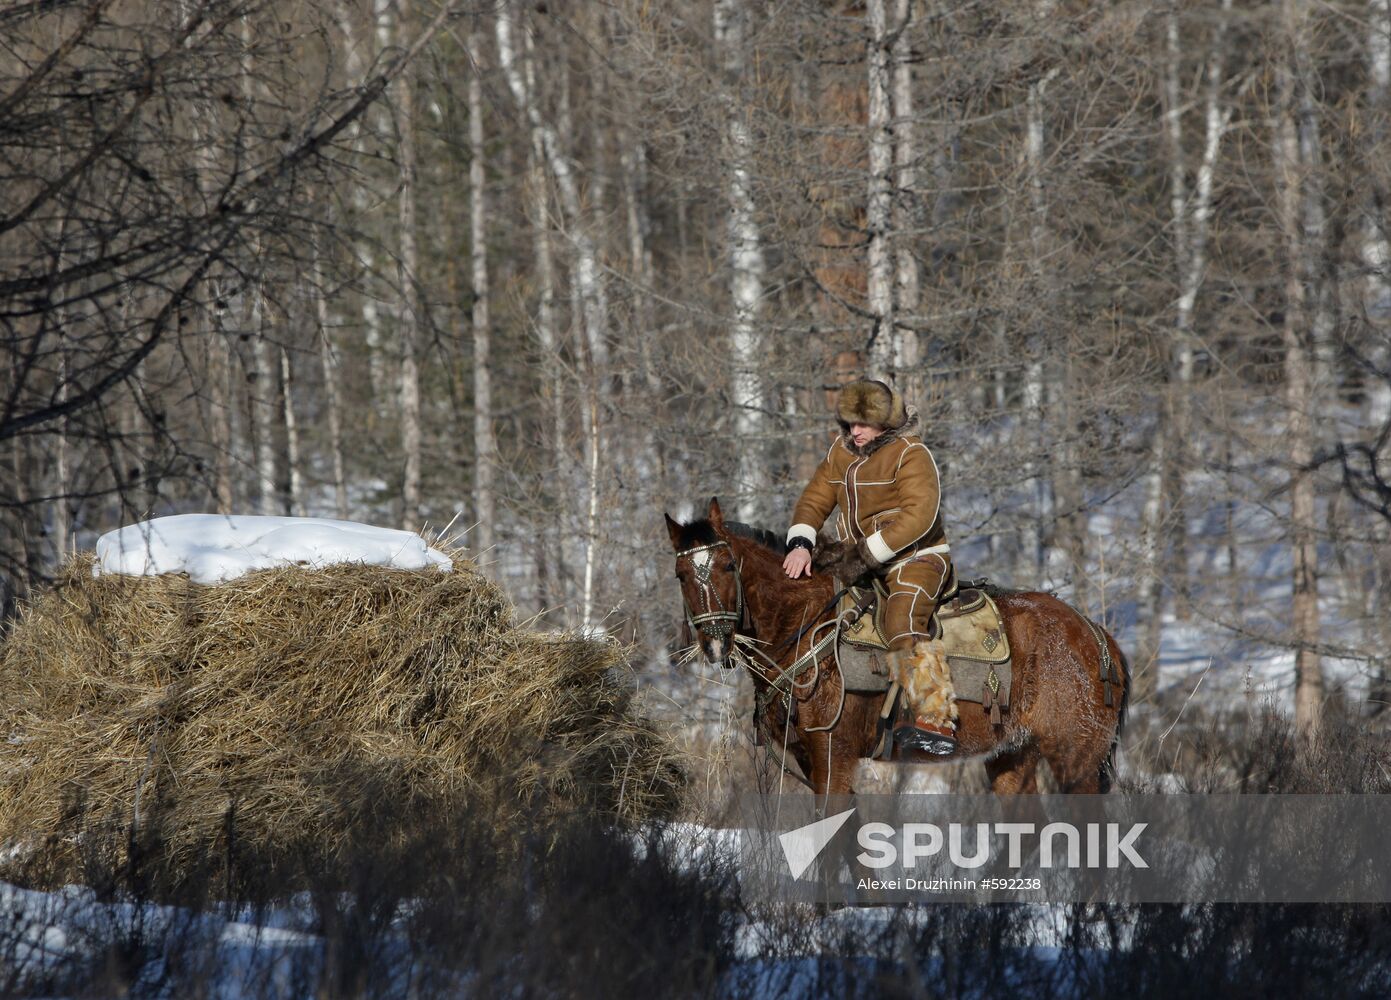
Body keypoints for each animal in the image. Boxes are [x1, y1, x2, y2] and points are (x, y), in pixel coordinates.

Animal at [664, 497, 1129, 795]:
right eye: (681, 575)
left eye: (728, 565)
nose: (715, 642)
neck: (806, 627)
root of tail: (1098, 636)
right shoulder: (813, 763)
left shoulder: (833, 759)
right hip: (1012, 755)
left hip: (1077, 762)